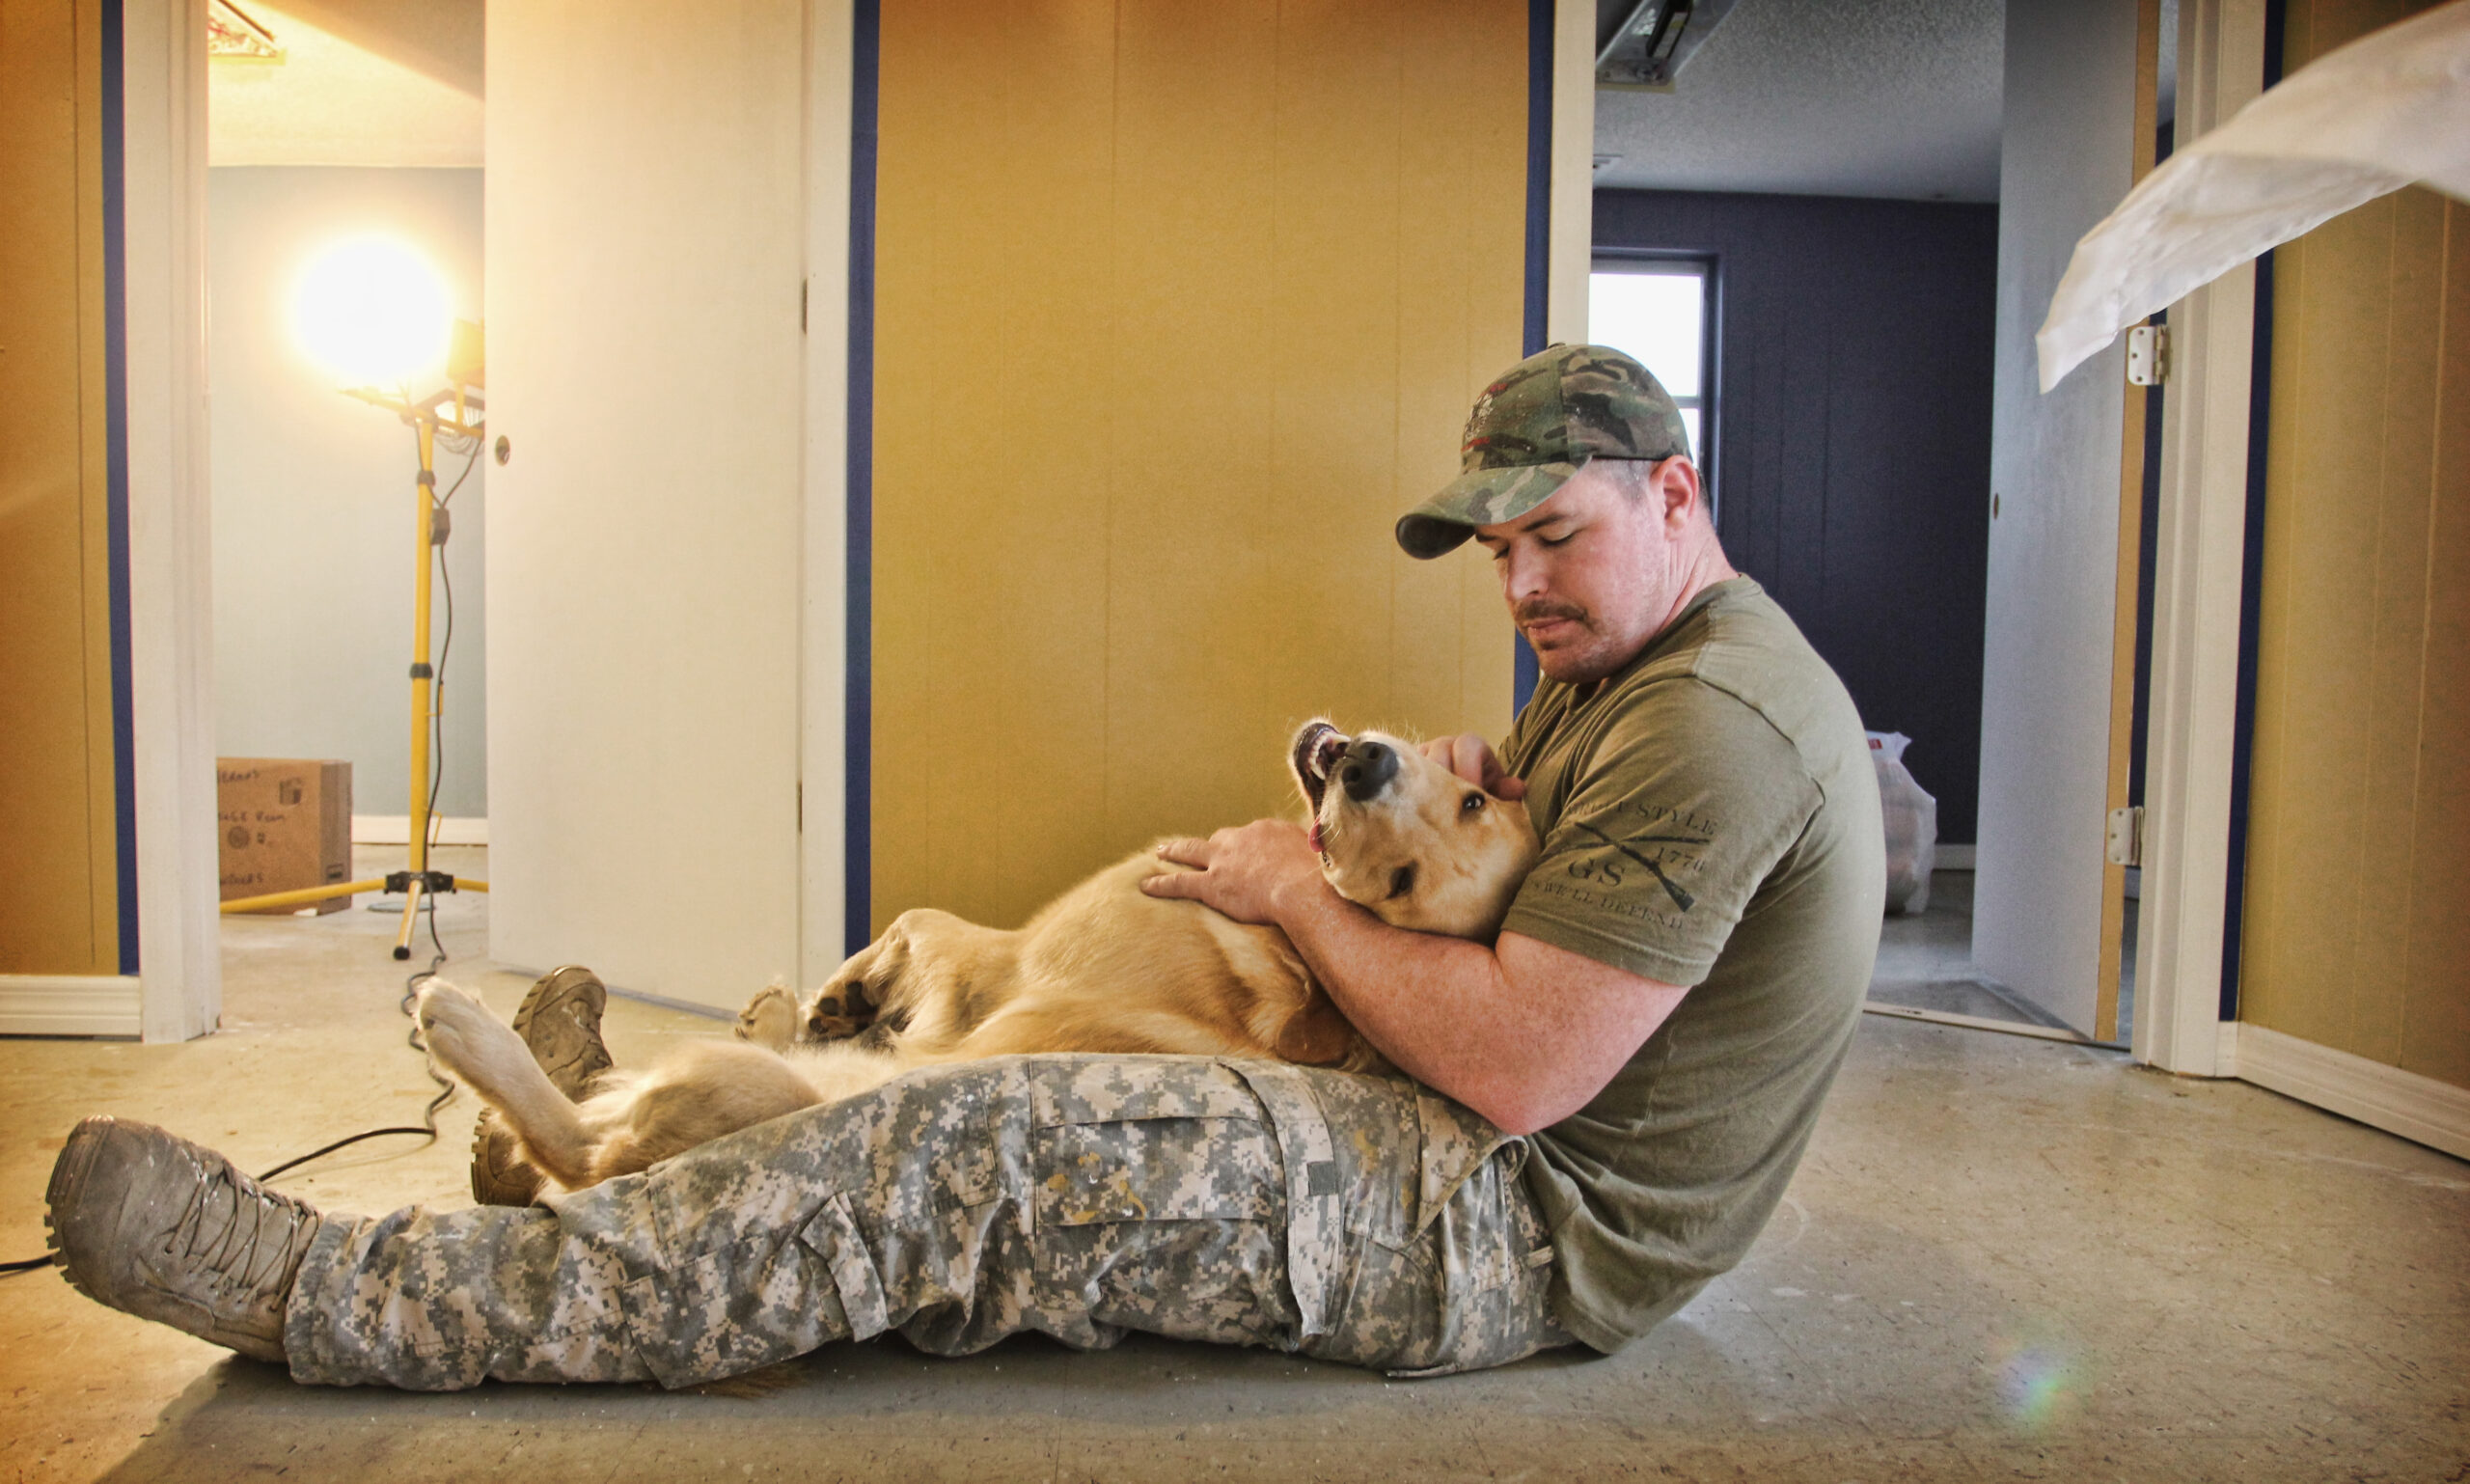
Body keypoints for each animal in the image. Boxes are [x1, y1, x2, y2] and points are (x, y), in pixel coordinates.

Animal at [415, 719, 1539, 1194]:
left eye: (1398, 889)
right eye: (1475, 796)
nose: (1366, 764)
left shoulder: (992, 960)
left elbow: (919, 917)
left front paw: (846, 986)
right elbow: (901, 932)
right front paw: (829, 993)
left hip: (745, 1101)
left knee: (577, 1148)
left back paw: (461, 1022)